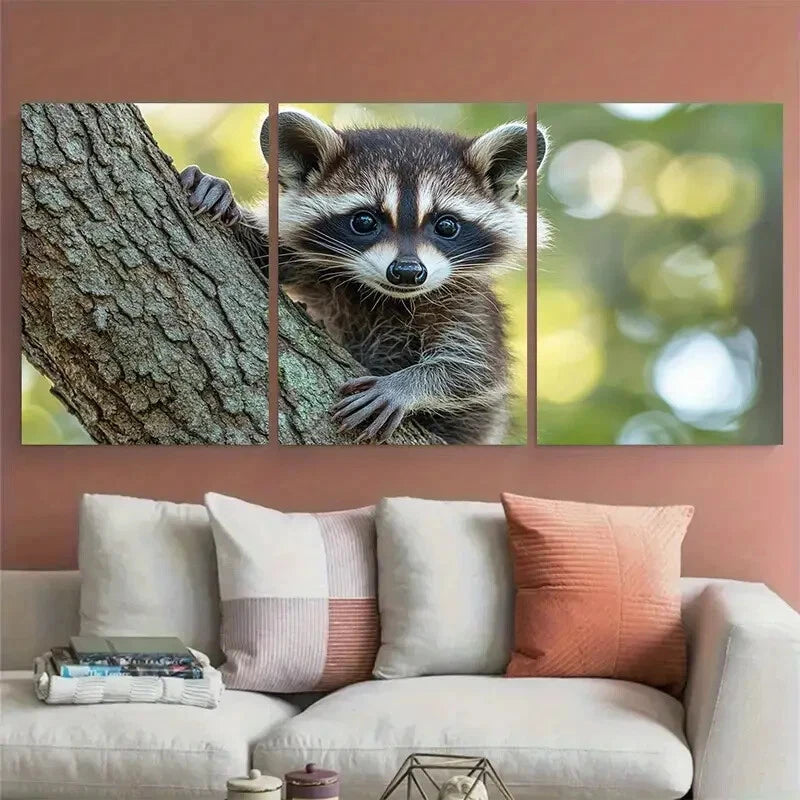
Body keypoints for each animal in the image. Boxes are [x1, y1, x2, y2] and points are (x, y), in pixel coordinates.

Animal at [180, 110, 549, 444]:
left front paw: (406, 385)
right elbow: (267, 254)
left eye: (446, 226)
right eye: (364, 221)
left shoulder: (469, 305)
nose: (407, 273)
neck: (390, 295)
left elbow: (475, 369)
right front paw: (225, 198)